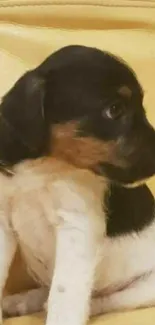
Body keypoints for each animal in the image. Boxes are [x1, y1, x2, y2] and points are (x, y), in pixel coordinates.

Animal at [0, 45, 155, 324]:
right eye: (114, 109)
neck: (46, 166)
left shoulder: (77, 225)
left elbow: (65, 295)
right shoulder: (3, 221)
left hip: (144, 289)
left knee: (101, 300)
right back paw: (22, 300)